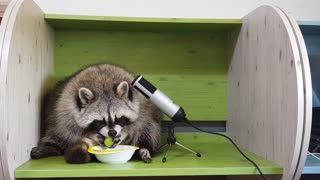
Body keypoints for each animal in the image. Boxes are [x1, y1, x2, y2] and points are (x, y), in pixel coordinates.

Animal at [30, 63, 162, 163]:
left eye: (118, 119)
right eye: (100, 121)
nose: (112, 132)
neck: (103, 86)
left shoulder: (141, 104)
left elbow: (140, 123)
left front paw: (125, 132)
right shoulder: (66, 109)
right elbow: (71, 129)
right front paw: (91, 134)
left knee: (150, 129)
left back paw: (143, 148)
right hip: (54, 110)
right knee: (58, 132)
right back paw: (50, 147)